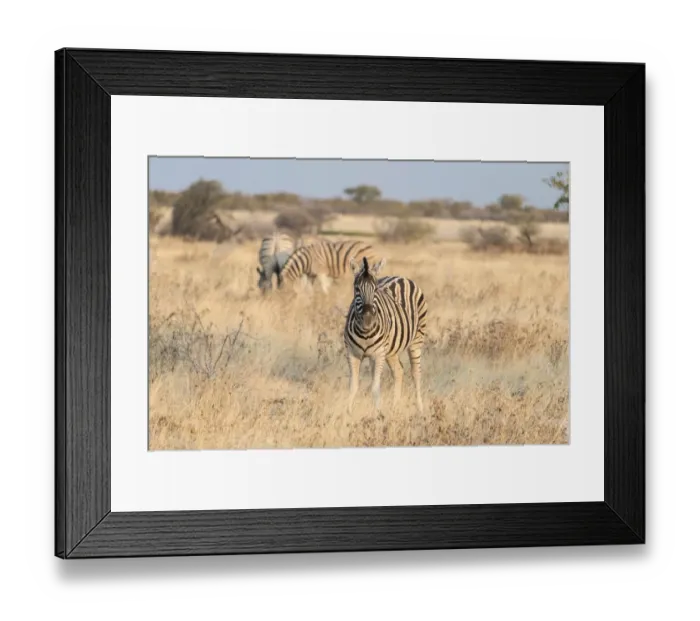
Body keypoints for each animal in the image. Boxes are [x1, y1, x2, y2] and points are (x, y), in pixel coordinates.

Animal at [344, 256, 427, 414]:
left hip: (416, 341)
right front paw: (348, 413)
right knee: (399, 371)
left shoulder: (377, 354)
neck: (365, 332)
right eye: (357, 289)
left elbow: (375, 388)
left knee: (416, 373)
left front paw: (377, 414)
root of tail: (400, 277)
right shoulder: (352, 353)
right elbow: (353, 386)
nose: (368, 319)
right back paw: (395, 407)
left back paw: (421, 410)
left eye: (375, 289)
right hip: (391, 351)